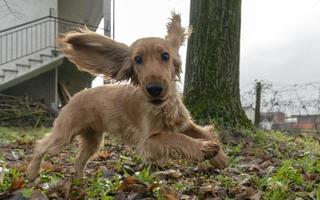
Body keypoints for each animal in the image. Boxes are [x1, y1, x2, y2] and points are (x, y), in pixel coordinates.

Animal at [26, 13, 228, 180]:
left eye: (165, 56)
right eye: (138, 59)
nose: (154, 89)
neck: (163, 107)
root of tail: (74, 97)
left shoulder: (184, 124)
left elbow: (204, 132)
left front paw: (220, 158)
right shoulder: (149, 141)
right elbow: (178, 139)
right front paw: (205, 149)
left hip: (93, 140)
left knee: (79, 160)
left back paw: (78, 182)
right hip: (64, 134)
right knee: (41, 146)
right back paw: (32, 172)